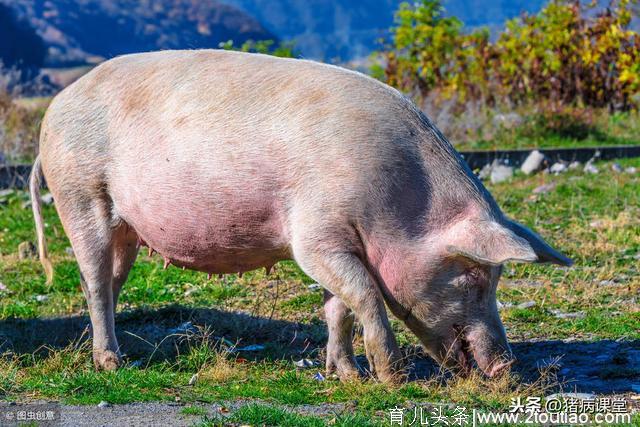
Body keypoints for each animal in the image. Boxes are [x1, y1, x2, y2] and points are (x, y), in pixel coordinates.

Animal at [30, 49, 572, 382]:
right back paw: (111, 365)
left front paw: (345, 374)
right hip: (79, 192)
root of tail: (54, 109)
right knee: (93, 279)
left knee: (108, 282)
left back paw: (118, 353)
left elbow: (338, 307)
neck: (402, 204)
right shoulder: (315, 235)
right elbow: (365, 296)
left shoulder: (342, 243)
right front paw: (391, 378)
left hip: (125, 225)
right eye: (474, 278)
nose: (507, 368)